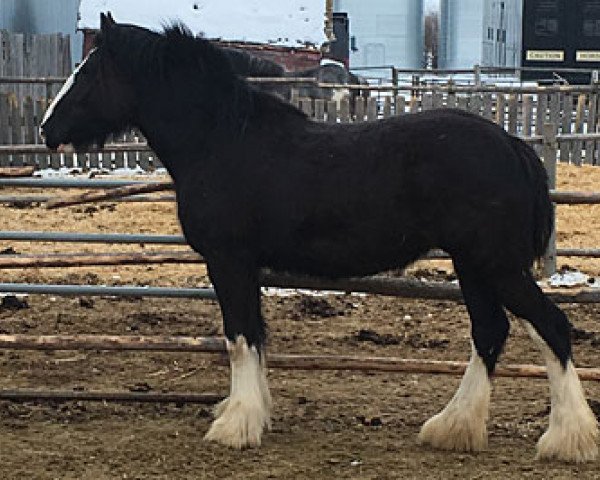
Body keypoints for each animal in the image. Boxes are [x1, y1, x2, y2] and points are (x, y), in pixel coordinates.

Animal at [39, 15, 596, 464]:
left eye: (88, 72)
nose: (47, 129)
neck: (223, 140)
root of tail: (511, 145)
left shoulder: (229, 261)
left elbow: (239, 337)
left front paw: (235, 426)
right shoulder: (246, 266)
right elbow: (255, 337)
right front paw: (252, 415)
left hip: (494, 265)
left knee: (551, 327)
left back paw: (567, 440)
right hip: (472, 265)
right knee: (490, 332)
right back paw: (453, 428)